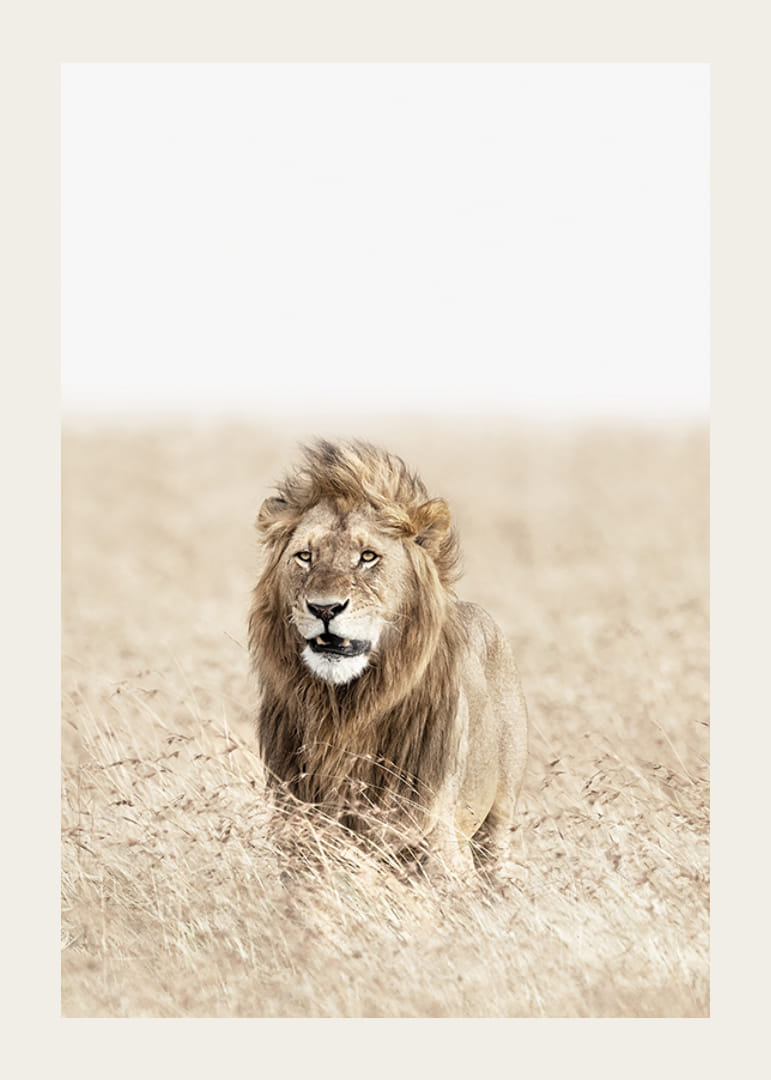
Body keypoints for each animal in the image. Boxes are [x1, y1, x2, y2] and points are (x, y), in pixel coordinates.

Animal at [248, 439, 528, 878]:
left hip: (500, 819)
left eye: (367, 556)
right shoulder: (298, 830)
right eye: (305, 556)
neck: (344, 711)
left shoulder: (434, 837)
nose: (324, 608)